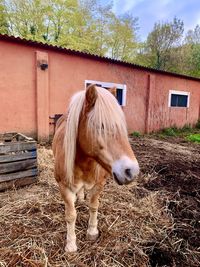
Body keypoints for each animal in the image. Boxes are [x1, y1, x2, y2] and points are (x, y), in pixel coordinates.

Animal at [52, 84, 140, 253]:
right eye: (101, 126)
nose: (131, 171)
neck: (86, 162)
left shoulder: (99, 184)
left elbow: (93, 206)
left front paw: (92, 232)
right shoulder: (64, 186)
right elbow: (70, 215)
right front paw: (71, 245)